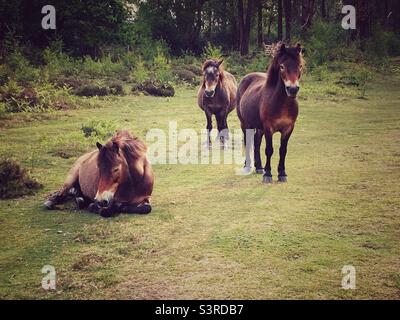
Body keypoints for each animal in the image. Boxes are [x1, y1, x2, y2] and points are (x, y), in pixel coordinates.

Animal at [238, 42, 304, 182]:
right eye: (282, 66)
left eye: (300, 66)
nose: (292, 89)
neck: (282, 103)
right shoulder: (269, 128)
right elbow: (269, 150)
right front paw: (268, 174)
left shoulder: (288, 128)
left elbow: (283, 150)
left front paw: (282, 173)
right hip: (245, 124)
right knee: (247, 141)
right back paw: (248, 166)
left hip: (259, 127)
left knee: (256, 142)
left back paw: (259, 167)